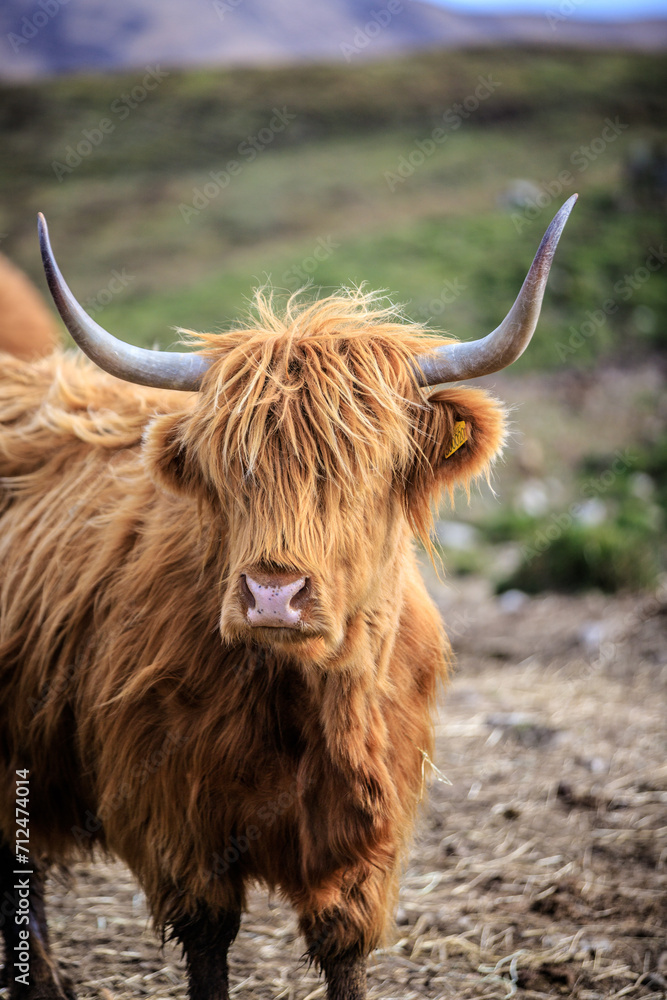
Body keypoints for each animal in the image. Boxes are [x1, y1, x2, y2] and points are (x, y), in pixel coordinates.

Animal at [0, 197, 576, 1000]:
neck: (306, 702)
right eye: (228, 468)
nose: (273, 595)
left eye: (365, 465)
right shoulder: (182, 825)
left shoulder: (366, 838)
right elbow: (209, 950)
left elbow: (343, 951)